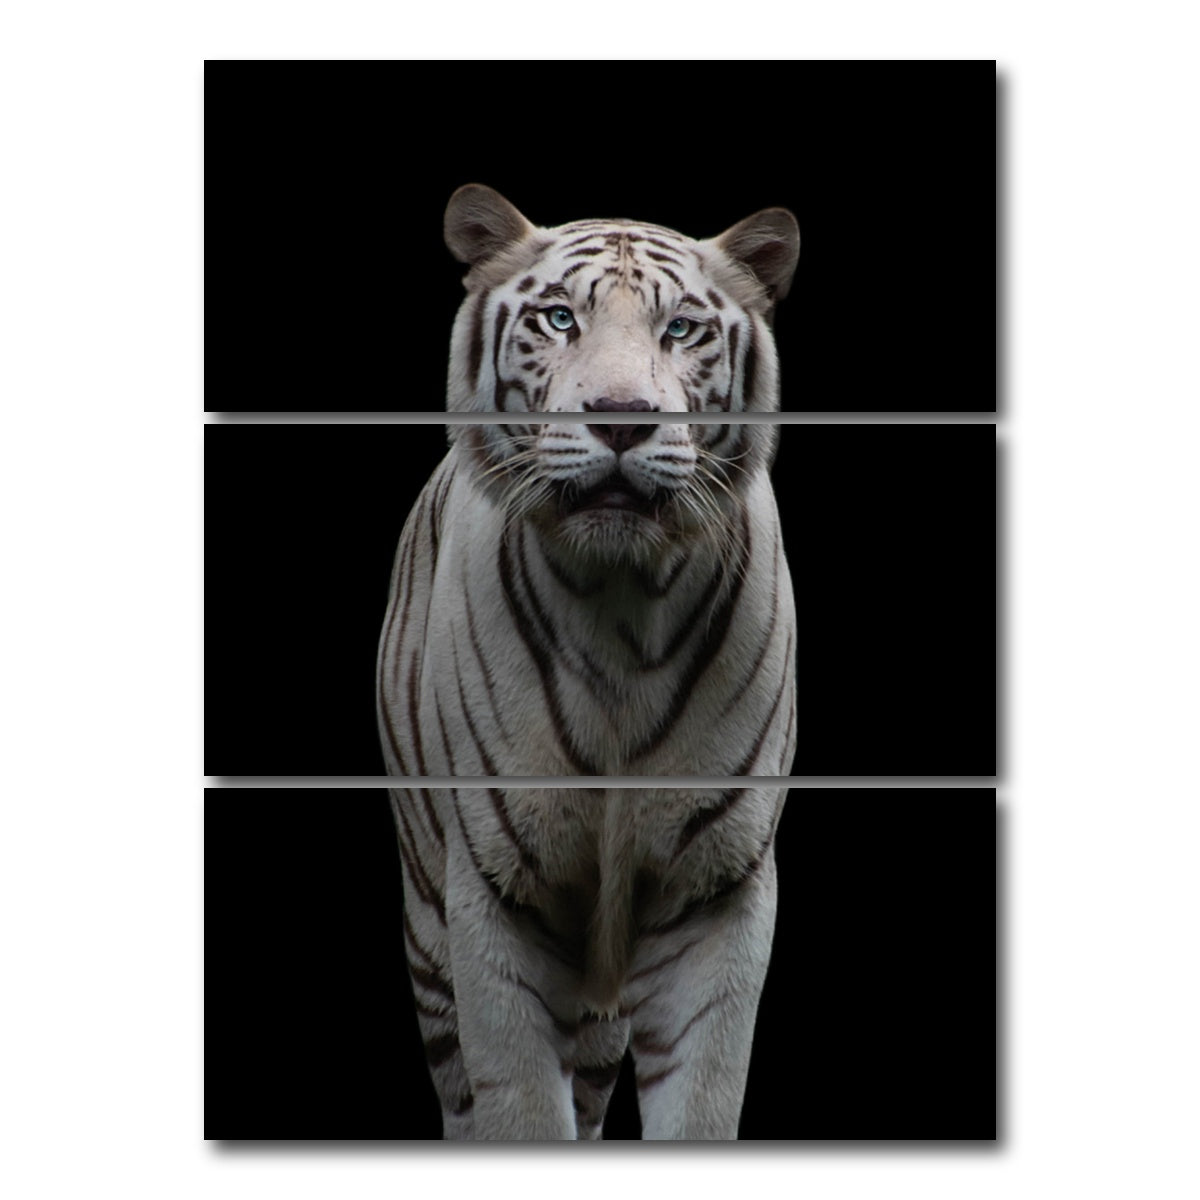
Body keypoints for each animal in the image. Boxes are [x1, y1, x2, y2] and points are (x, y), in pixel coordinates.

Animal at [376, 185, 799, 1139]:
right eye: (560, 318)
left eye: (680, 328)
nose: (620, 416)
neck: (621, 611)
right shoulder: (494, 892)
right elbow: (520, 1106)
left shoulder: (719, 890)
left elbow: (703, 1102)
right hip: (427, 924)